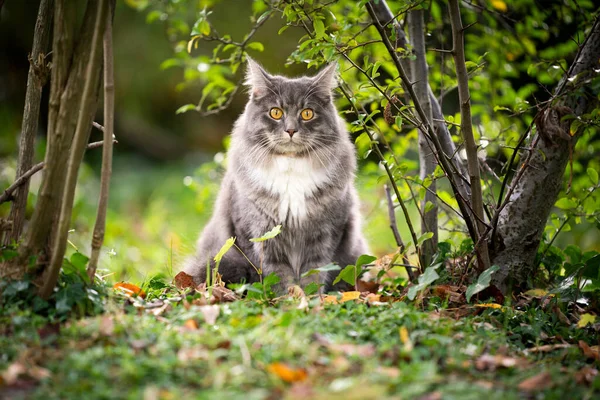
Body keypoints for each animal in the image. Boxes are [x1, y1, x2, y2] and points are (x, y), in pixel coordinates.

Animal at [183, 57, 368, 292]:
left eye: (307, 113)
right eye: (276, 113)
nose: (290, 130)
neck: (291, 168)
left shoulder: (325, 234)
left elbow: (314, 272)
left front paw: (311, 298)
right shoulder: (259, 233)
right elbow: (277, 274)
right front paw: (288, 297)